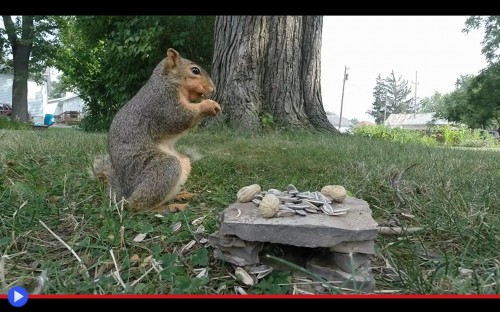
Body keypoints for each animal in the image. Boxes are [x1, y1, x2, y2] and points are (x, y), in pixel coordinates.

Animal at [99, 48, 221, 214]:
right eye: (195, 70)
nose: (213, 88)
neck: (168, 81)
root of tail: (124, 192)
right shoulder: (162, 102)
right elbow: (178, 117)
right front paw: (208, 105)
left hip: (182, 164)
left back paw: (180, 196)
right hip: (164, 167)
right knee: (137, 206)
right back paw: (170, 207)